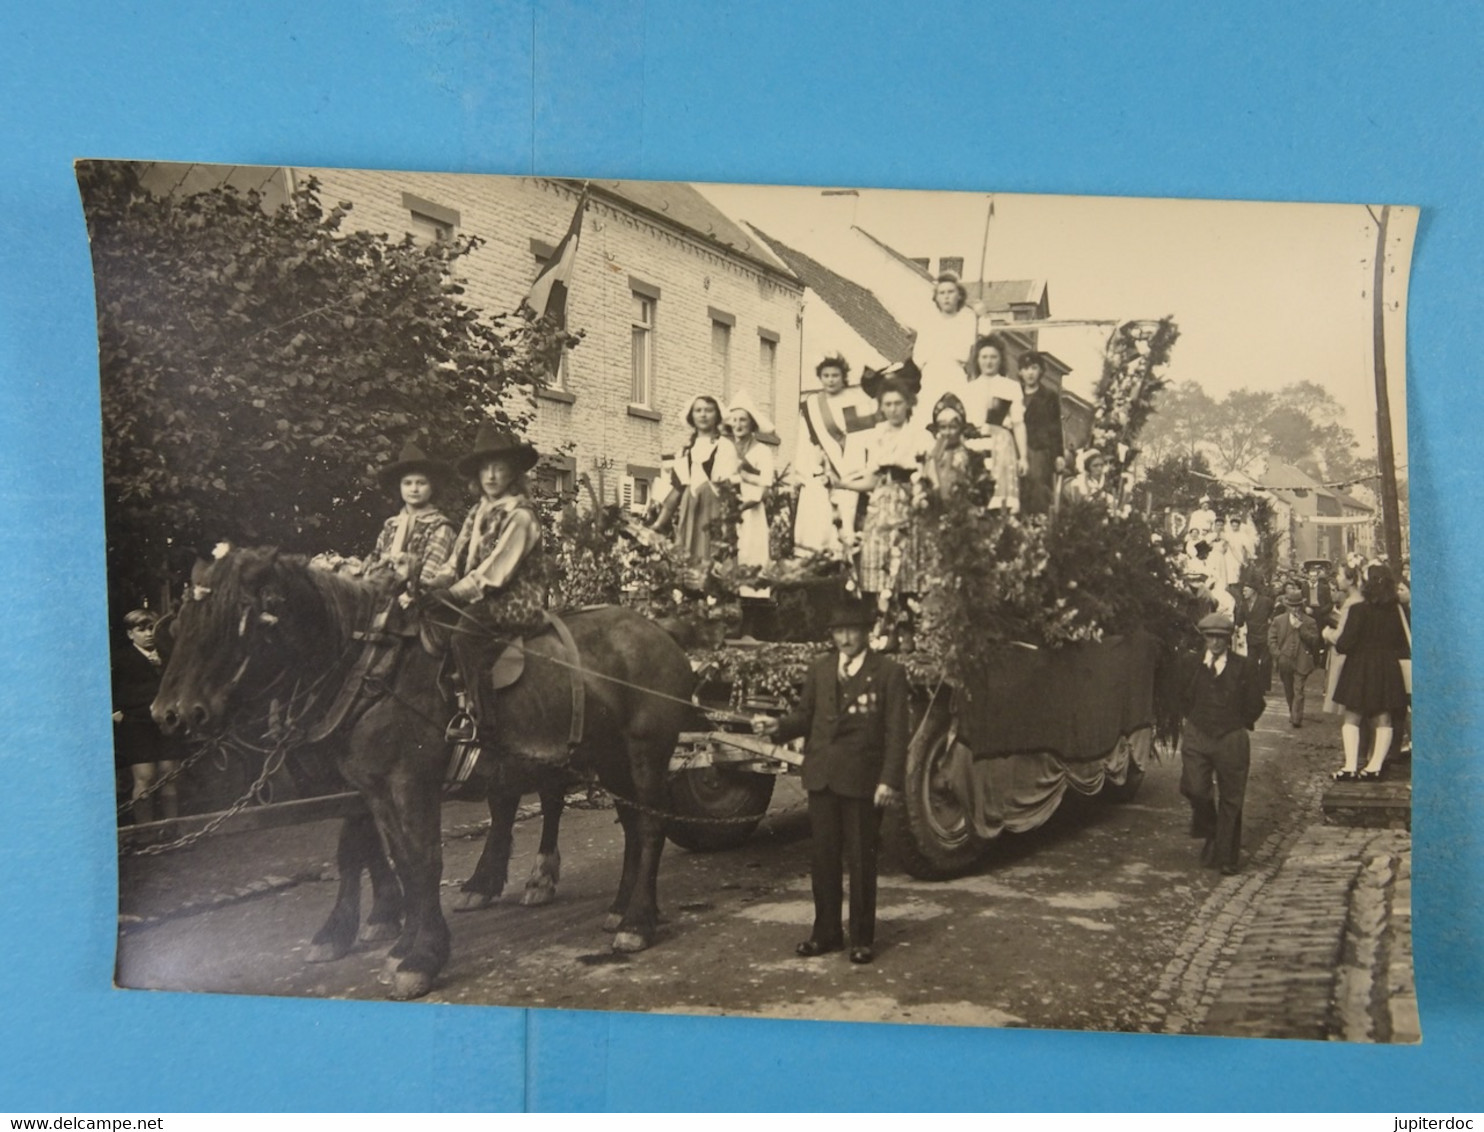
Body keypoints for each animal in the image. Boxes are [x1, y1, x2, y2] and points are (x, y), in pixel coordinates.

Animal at [153, 548, 697, 1002]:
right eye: (177, 627)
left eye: (234, 623)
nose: (171, 713)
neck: (368, 668)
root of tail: (659, 630)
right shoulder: (371, 790)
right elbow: (394, 858)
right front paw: (395, 940)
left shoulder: (409, 784)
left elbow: (422, 861)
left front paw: (420, 955)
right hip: (609, 759)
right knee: (627, 825)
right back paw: (618, 907)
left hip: (645, 753)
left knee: (649, 826)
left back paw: (636, 921)